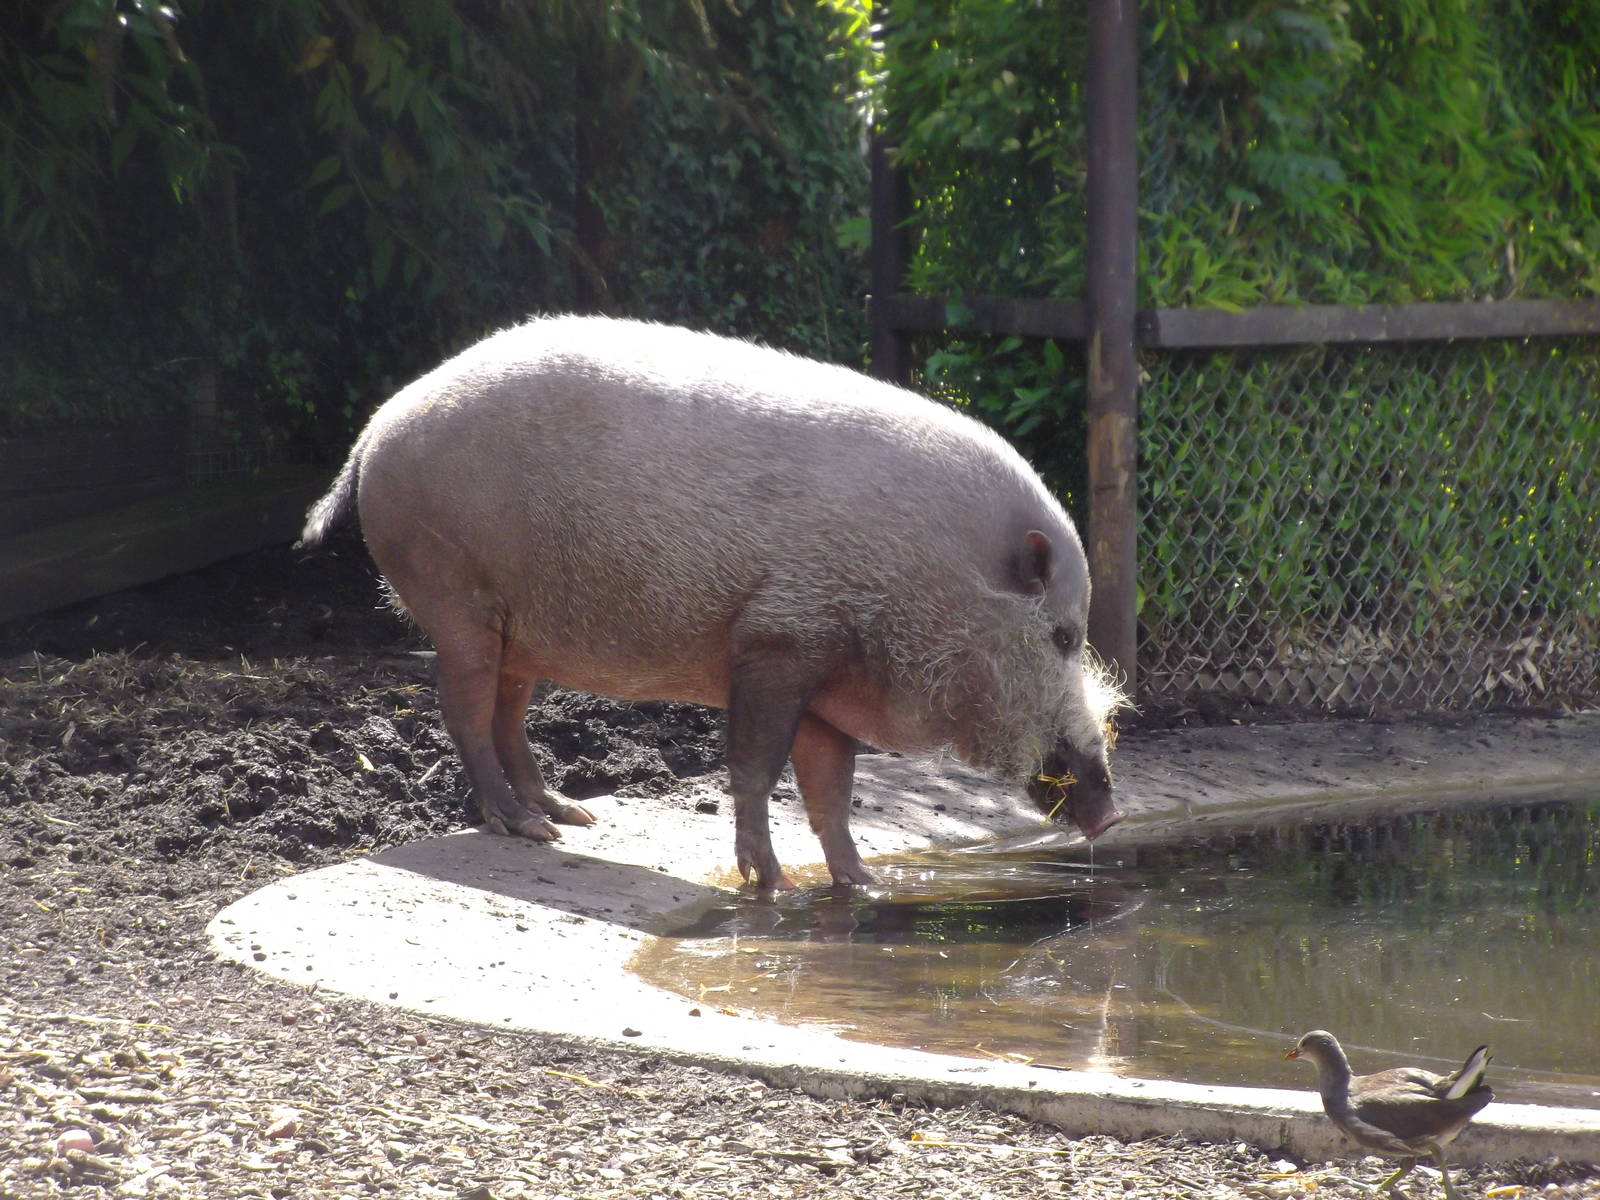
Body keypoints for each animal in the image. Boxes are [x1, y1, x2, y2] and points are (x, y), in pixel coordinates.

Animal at [301, 316, 1124, 890]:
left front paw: (864, 884)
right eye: (1062, 635)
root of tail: (376, 429)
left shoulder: (827, 684)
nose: (1113, 811)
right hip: (459, 601)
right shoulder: (776, 641)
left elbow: (831, 792)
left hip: (522, 629)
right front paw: (770, 884)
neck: (930, 577)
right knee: (463, 711)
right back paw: (526, 830)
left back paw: (569, 816)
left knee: (508, 715)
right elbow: (756, 768)